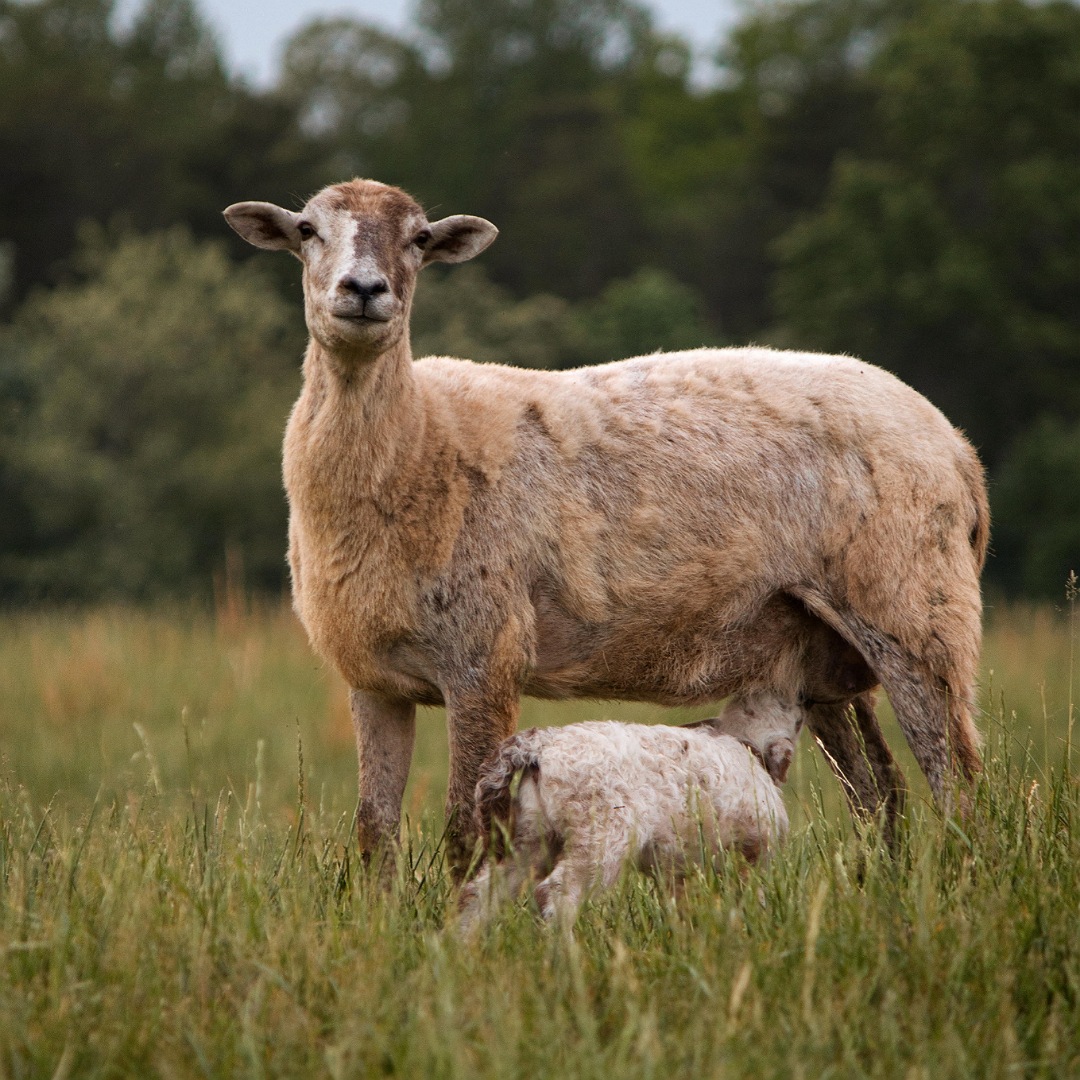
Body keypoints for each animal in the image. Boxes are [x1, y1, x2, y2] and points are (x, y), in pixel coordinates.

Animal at [223, 177, 988, 870]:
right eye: (308, 231)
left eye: (419, 239)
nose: (364, 289)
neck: (423, 436)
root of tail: (956, 445)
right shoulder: (375, 680)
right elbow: (374, 834)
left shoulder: (484, 660)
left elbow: (465, 835)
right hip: (821, 646)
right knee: (882, 796)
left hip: (915, 610)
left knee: (959, 786)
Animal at [458, 692, 802, 929]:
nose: (802, 701)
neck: (745, 747)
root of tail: (540, 744)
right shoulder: (754, 853)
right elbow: (752, 899)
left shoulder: (680, 870)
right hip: (601, 836)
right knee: (556, 893)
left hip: (530, 836)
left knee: (481, 891)